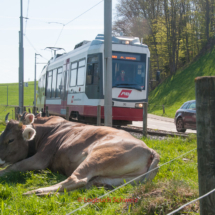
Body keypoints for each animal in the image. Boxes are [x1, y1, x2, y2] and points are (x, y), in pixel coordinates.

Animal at [0, 113, 160, 196]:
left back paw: (35, 192)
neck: (48, 129)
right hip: (116, 180)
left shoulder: (41, 158)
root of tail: (150, 150)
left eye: (11, 140)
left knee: (77, 180)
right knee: (85, 186)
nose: (0, 159)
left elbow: (13, 166)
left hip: (98, 157)